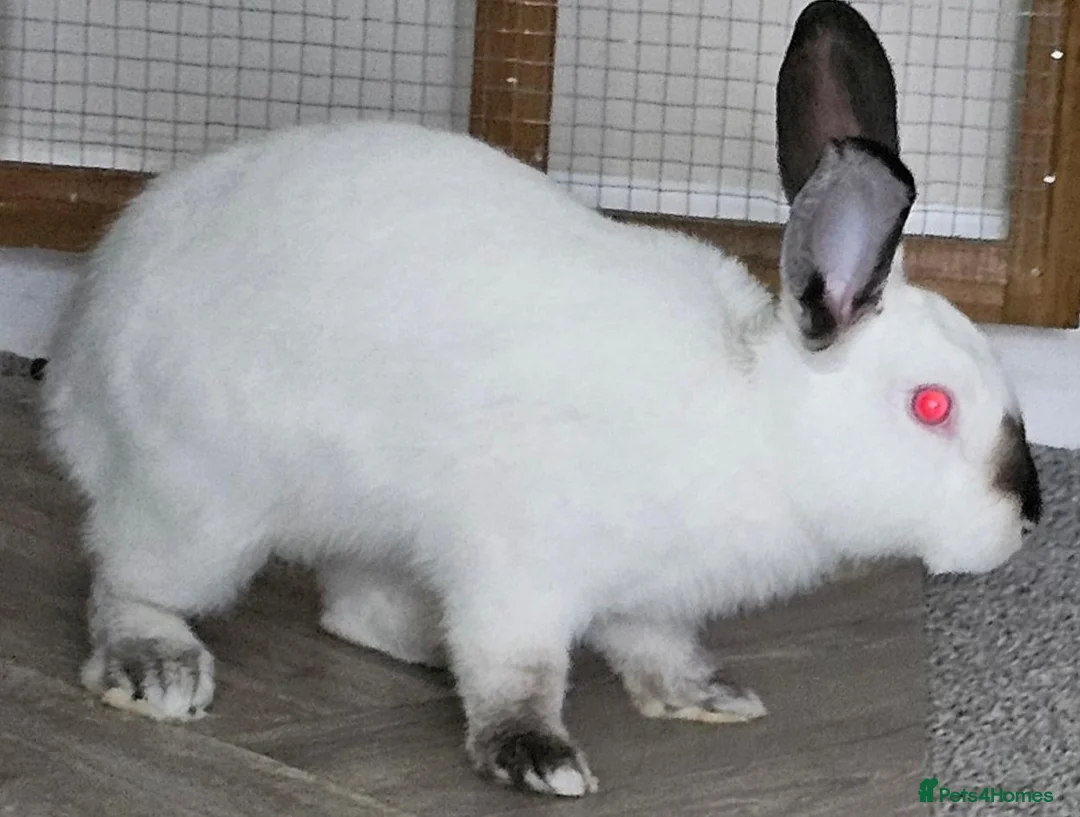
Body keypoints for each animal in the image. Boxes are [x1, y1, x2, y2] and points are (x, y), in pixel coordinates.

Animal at [42, 0, 1040, 798]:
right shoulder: (518, 566)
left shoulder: (648, 597)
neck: (759, 417)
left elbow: (654, 646)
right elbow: (516, 666)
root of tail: (81, 348)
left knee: (351, 607)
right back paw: (157, 665)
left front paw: (705, 696)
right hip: (201, 503)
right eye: (932, 406)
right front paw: (538, 755)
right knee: (127, 578)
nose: (1026, 520)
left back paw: (423, 642)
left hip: (371, 519)